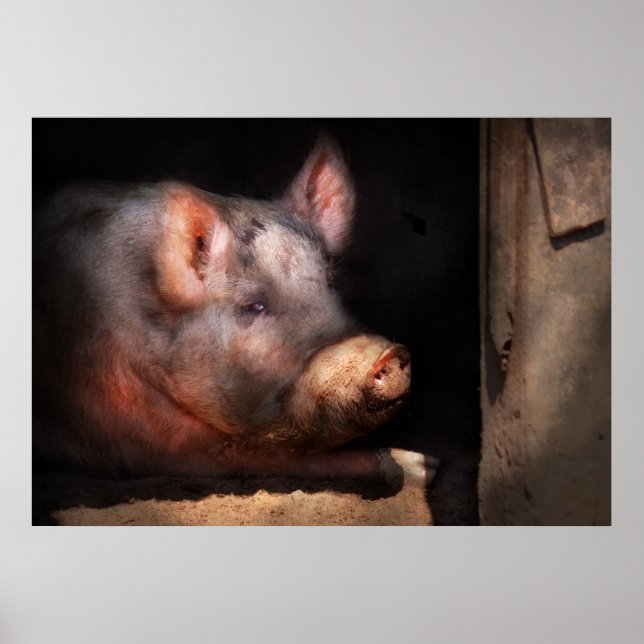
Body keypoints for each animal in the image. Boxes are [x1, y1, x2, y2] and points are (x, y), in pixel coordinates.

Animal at [33, 137, 439, 487]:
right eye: (254, 305)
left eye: (330, 284)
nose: (388, 354)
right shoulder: (125, 433)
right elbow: (255, 457)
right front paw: (421, 466)